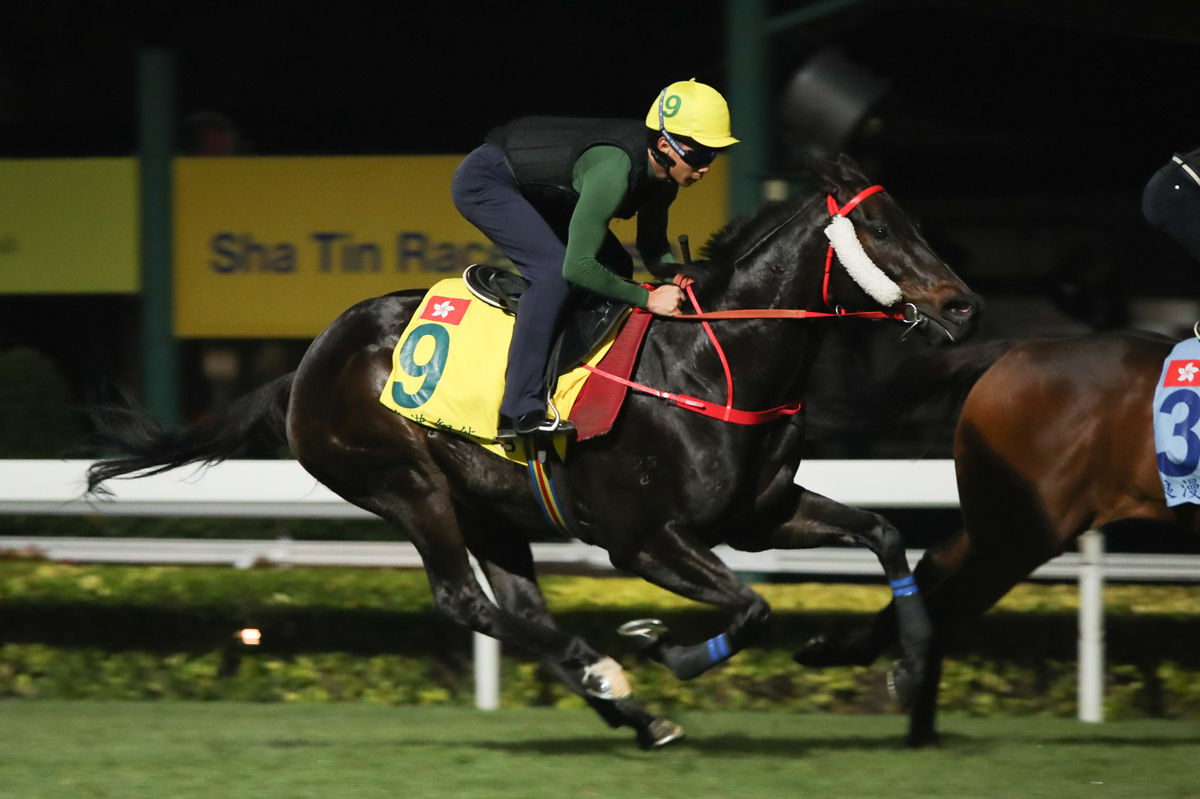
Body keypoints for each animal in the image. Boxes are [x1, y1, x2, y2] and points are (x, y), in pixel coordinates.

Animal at [88, 155, 979, 748]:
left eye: (911, 220)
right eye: (878, 226)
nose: (963, 306)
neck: (711, 361)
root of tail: (307, 360)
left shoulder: (760, 515)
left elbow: (884, 534)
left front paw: (896, 664)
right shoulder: (642, 539)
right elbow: (752, 607)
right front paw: (664, 646)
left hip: (490, 502)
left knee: (518, 608)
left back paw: (632, 710)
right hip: (405, 482)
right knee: (465, 600)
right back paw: (609, 674)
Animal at [796, 326, 1190, 743]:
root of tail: (1026, 347)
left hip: (1003, 521)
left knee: (936, 563)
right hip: (1028, 531)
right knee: (947, 603)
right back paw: (911, 699)